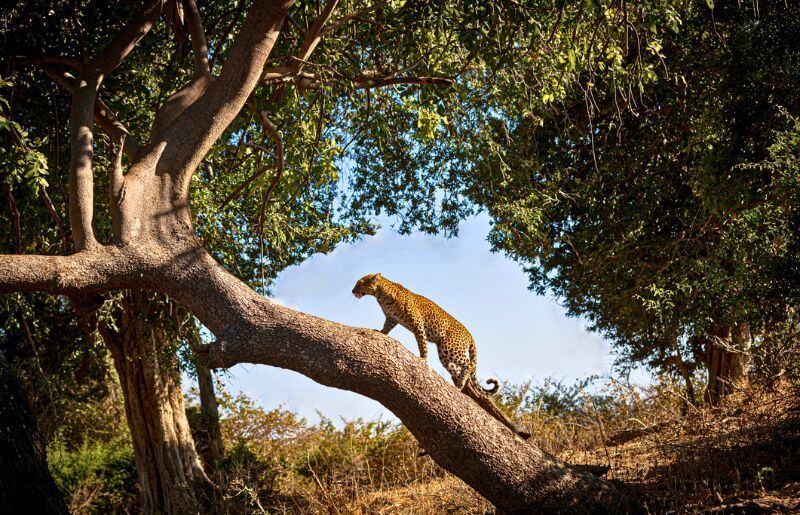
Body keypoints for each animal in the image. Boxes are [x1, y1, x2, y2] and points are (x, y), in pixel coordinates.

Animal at [352, 273, 499, 395]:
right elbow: (386, 327)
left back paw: (461, 383)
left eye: (360, 283)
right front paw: (381, 331)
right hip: (444, 355)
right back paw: (459, 385)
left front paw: (423, 358)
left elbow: (422, 344)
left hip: (450, 347)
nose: (352, 291)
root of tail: (469, 335)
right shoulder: (391, 319)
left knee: (469, 364)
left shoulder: (418, 324)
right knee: (457, 369)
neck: (381, 295)